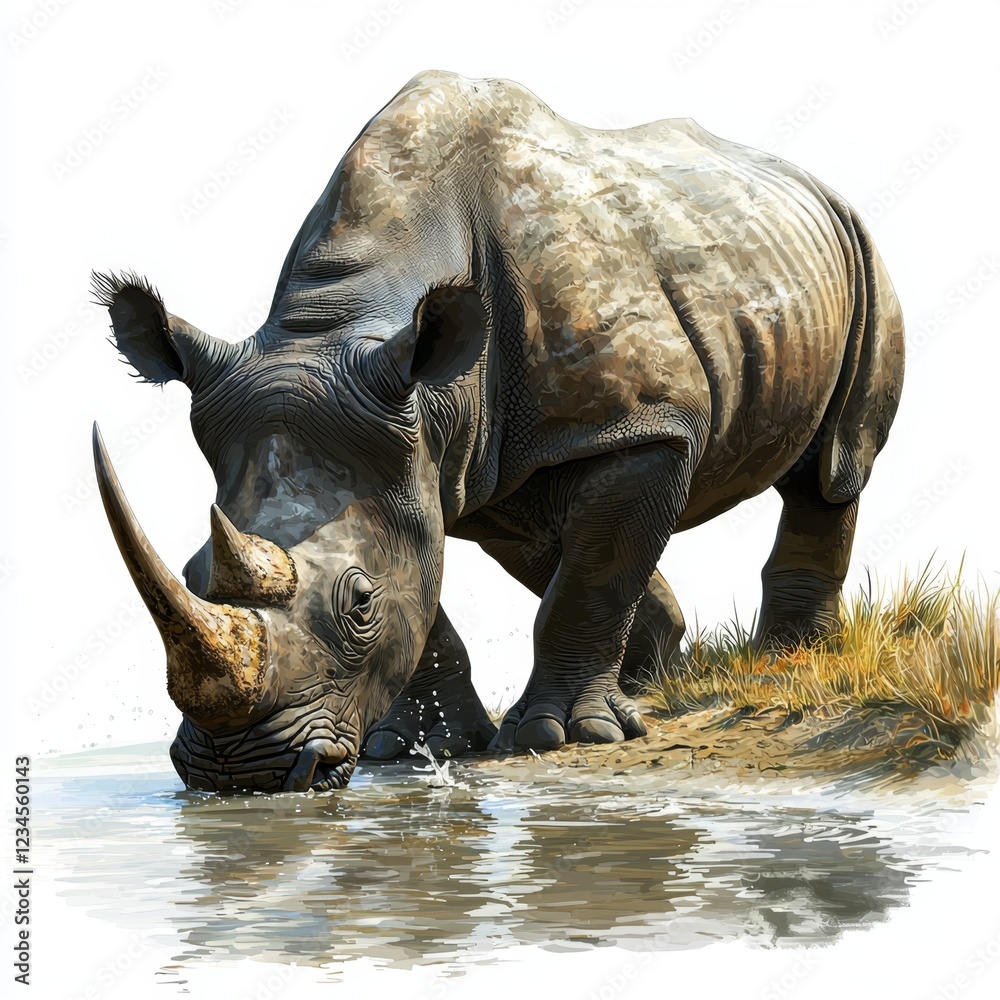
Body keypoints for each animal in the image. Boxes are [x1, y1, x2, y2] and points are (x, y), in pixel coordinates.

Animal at [92, 70, 904, 793]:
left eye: (359, 605)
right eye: (192, 571)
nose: (237, 773)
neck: (340, 322)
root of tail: (813, 183)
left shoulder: (645, 424)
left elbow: (593, 574)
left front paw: (563, 736)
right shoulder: (430, 452)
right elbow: (436, 587)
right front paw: (415, 747)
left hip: (862, 252)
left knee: (833, 469)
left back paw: (787, 661)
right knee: (546, 533)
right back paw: (655, 676)